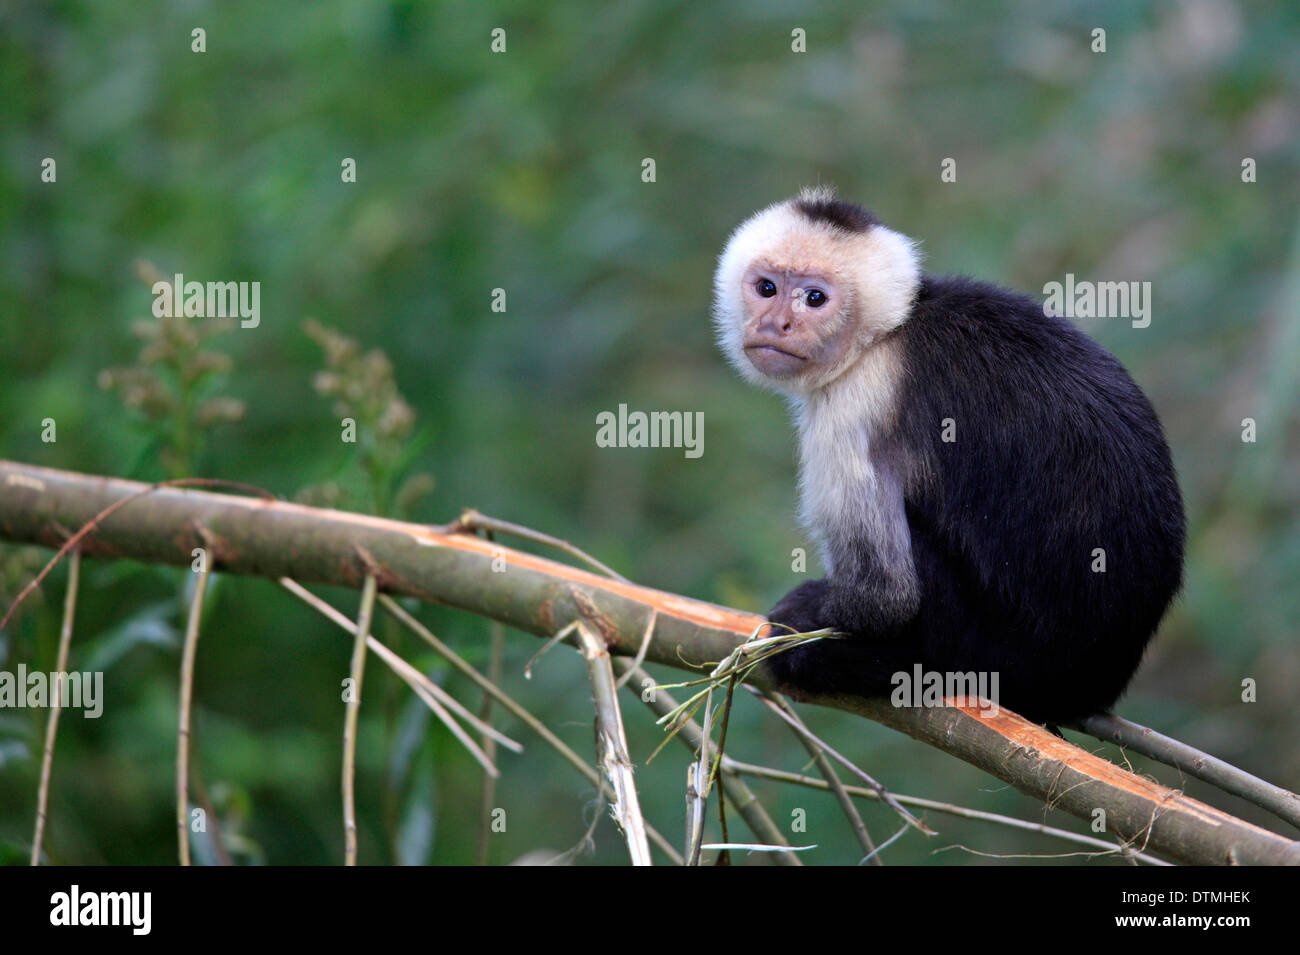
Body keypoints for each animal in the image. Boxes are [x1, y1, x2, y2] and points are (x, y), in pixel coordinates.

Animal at [717, 188, 1185, 722]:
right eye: (767, 288)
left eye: (815, 298)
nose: (776, 323)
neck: (887, 333)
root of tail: (1088, 688)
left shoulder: (858, 400)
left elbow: (884, 599)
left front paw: (805, 624)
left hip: (993, 655)